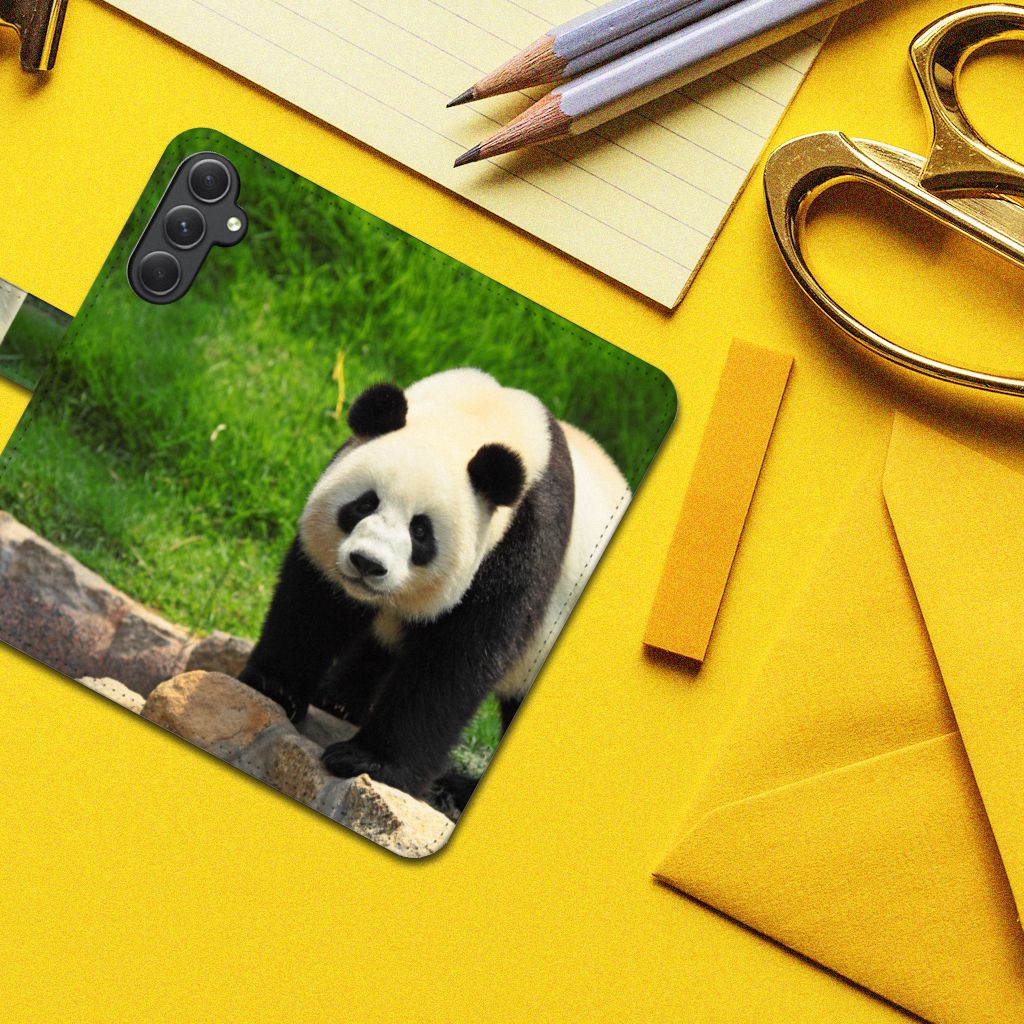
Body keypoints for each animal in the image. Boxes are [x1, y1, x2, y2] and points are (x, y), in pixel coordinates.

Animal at [240, 367, 629, 806]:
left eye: (421, 531)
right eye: (364, 504)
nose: (367, 564)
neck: (476, 418)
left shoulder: (523, 542)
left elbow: (456, 660)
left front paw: (368, 761)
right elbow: (317, 603)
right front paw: (276, 687)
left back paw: (457, 788)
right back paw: (338, 699)